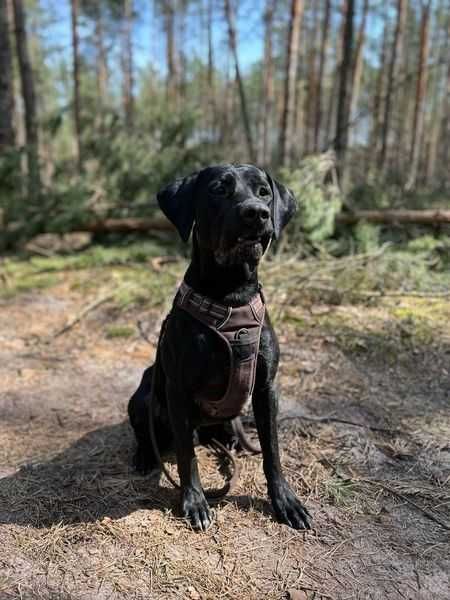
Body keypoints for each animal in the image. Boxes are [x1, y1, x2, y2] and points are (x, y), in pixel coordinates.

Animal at [129, 163, 312, 528]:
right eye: (218, 189)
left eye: (263, 192)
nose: (257, 213)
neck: (231, 295)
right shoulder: (178, 390)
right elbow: (187, 457)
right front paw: (195, 502)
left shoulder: (267, 388)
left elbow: (272, 452)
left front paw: (285, 501)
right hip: (142, 398)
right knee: (151, 434)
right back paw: (145, 456)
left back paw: (230, 439)